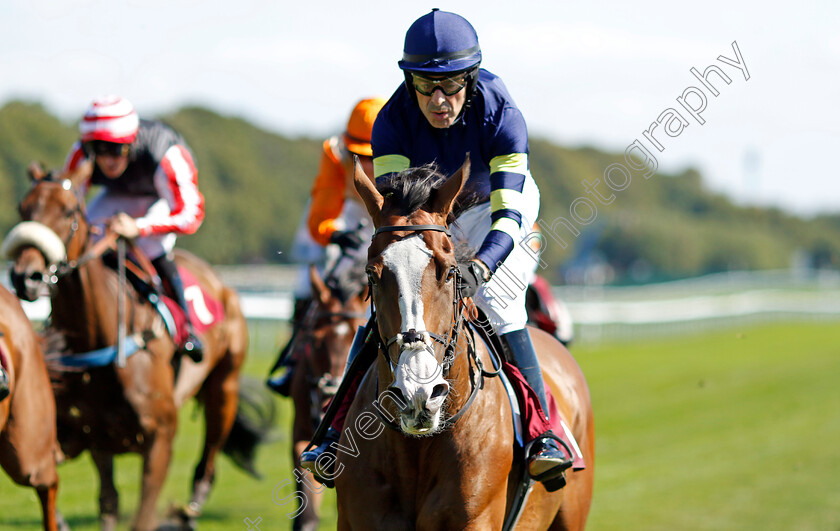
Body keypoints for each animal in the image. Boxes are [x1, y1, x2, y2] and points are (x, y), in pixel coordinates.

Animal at [4, 162, 251, 531]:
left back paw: (189, 510)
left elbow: (141, 515)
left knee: (207, 464)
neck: (102, 340)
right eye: (23, 209)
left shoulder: (160, 439)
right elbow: (97, 498)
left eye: (68, 211)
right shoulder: (82, 434)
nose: (25, 277)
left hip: (224, 389)